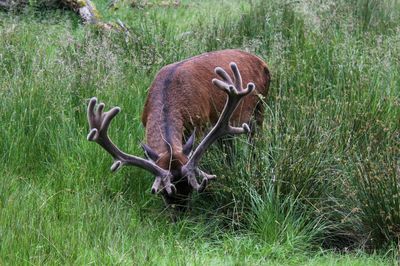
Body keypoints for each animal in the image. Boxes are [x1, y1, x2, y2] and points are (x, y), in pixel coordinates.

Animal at [86, 49, 270, 208]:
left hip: (260, 107)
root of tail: (262, 62)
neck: (168, 96)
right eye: (163, 193)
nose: (179, 217)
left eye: (189, 189)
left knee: (255, 142)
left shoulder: (199, 125)